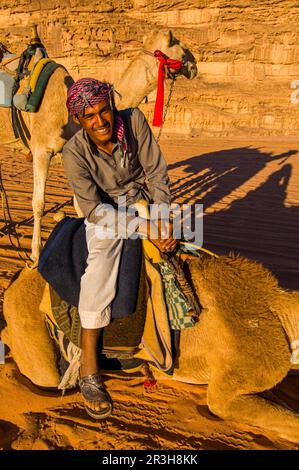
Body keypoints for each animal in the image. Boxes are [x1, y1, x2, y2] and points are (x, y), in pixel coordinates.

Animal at [0, 29, 198, 260]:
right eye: (183, 48)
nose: (195, 65)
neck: (69, 116)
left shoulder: (69, 157)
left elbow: (82, 206)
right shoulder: (42, 150)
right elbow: (38, 203)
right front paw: (35, 254)